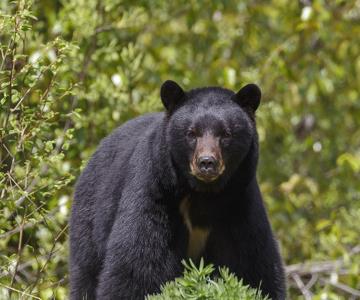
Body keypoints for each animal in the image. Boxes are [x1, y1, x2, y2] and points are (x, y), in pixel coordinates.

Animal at [69, 80, 286, 300]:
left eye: (226, 134)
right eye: (191, 133)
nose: (207, 163)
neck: (204, 194)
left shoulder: (239, 204)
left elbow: (253, 264)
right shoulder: (156, 192)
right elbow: (137, 263)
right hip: (90, 216)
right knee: (86, 272)